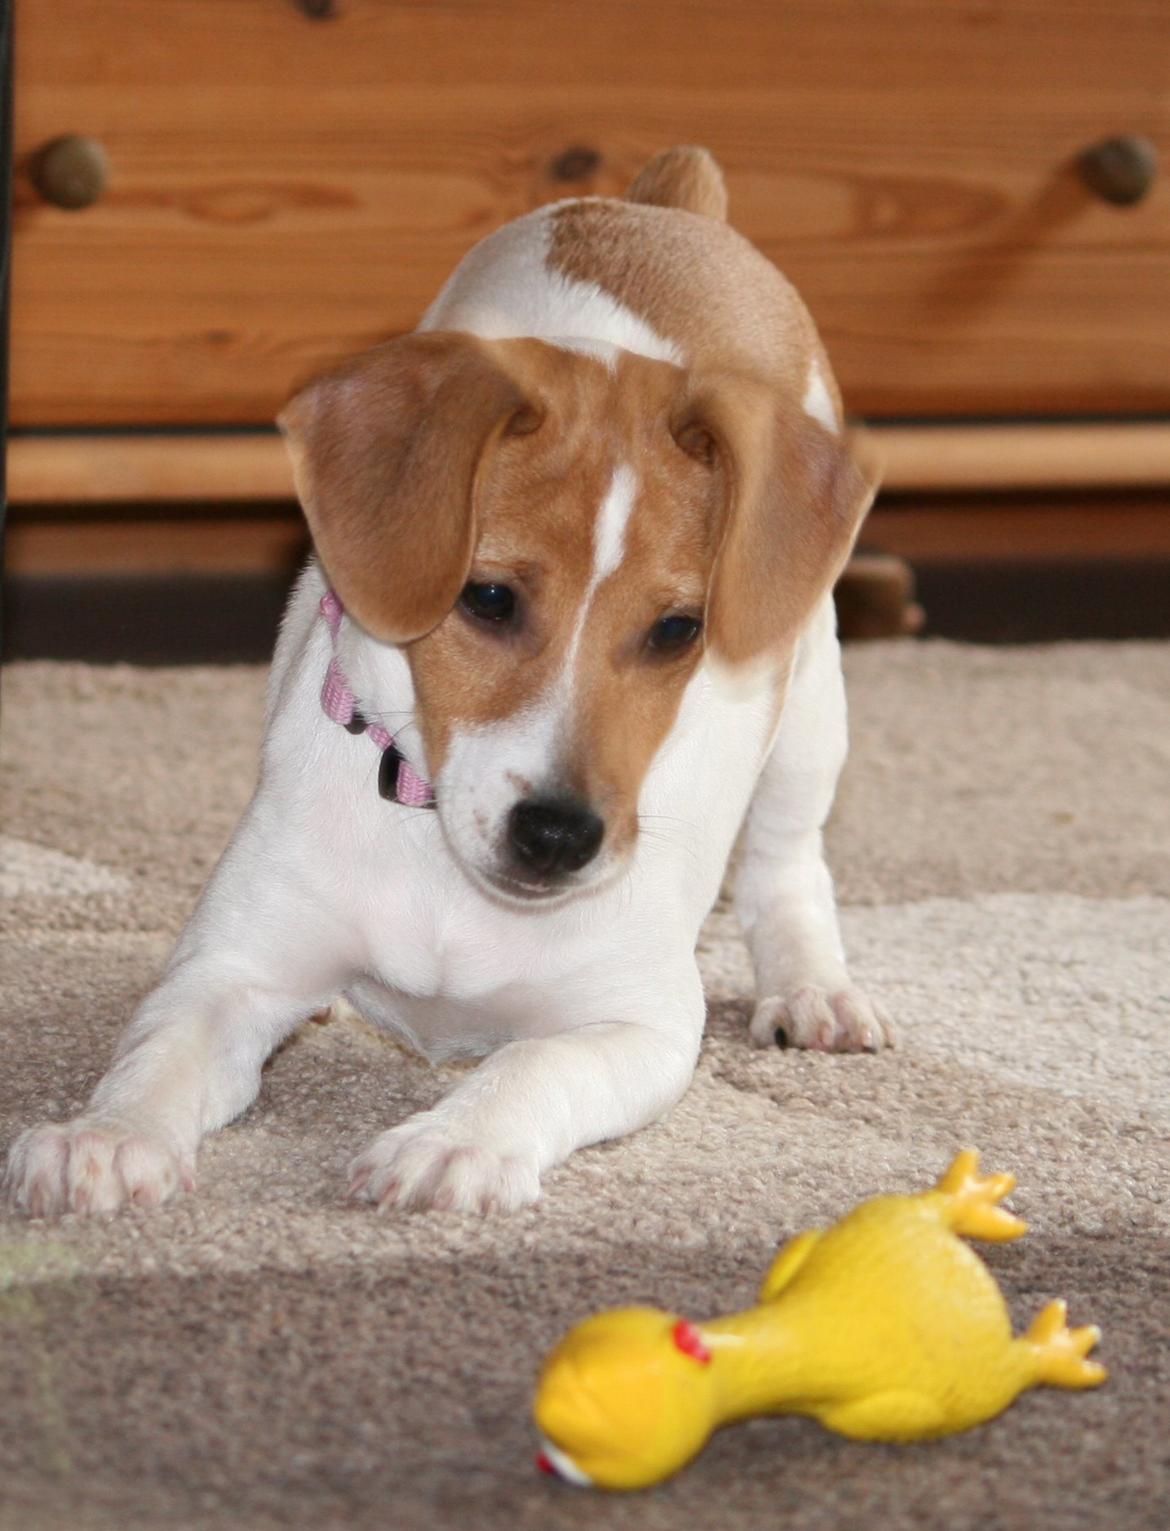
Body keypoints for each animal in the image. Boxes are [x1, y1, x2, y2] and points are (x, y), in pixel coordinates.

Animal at [4, 143, 888, 1218]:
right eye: (490, 598)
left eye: (678, 629)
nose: (560, 836)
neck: (446, 867)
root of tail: (667, 214)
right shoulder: (230, 969)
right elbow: (156, 1054)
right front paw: (106, 1135)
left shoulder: (639, 1023)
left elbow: (533, 1063)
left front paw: (456, 1141)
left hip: (809, 701)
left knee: (787, 862)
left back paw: (813, 986)